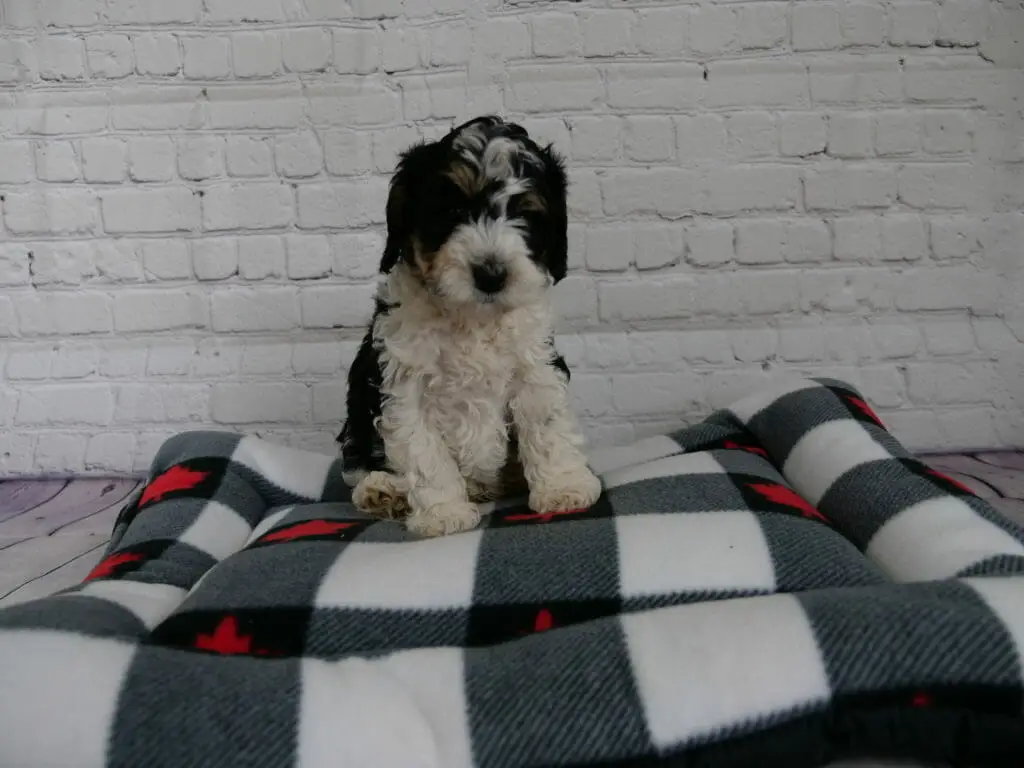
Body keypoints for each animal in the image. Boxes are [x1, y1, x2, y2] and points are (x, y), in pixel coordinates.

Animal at [339, 117, 602, 536]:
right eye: (451, 210)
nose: (491, 275)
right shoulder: (402, 381)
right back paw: (383, 491)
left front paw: (564, 487)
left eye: (526, 215)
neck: (471, 317)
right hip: (358, 421)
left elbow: (547, 423)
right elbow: (424, 451)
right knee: (359, 461)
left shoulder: (534, 365)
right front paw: (443, 513)